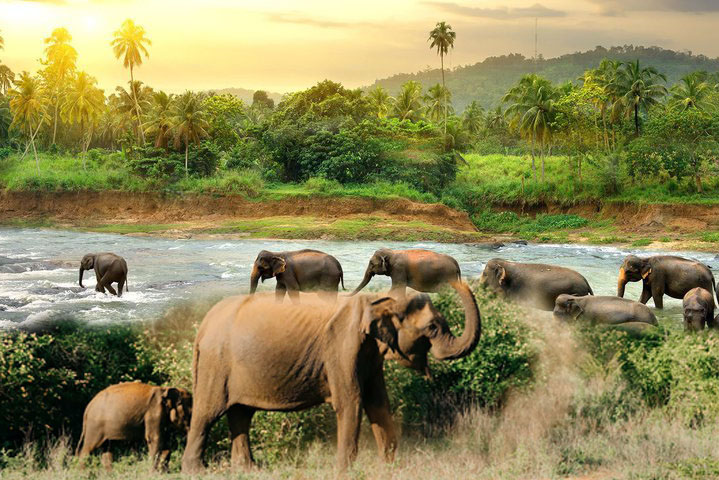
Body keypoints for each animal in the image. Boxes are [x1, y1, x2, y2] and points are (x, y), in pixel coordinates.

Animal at [181, 282, 484, 472]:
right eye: (432, 327)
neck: (375, 299)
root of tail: (202, 326)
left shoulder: (368, 353)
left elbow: (378, 404)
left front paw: (391, 468)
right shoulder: (341, 345)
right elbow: (351, 403)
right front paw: (345, 472)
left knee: (241, 413)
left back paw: (248, 469)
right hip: (215, 364)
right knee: (207, 413)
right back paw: (196, 471)